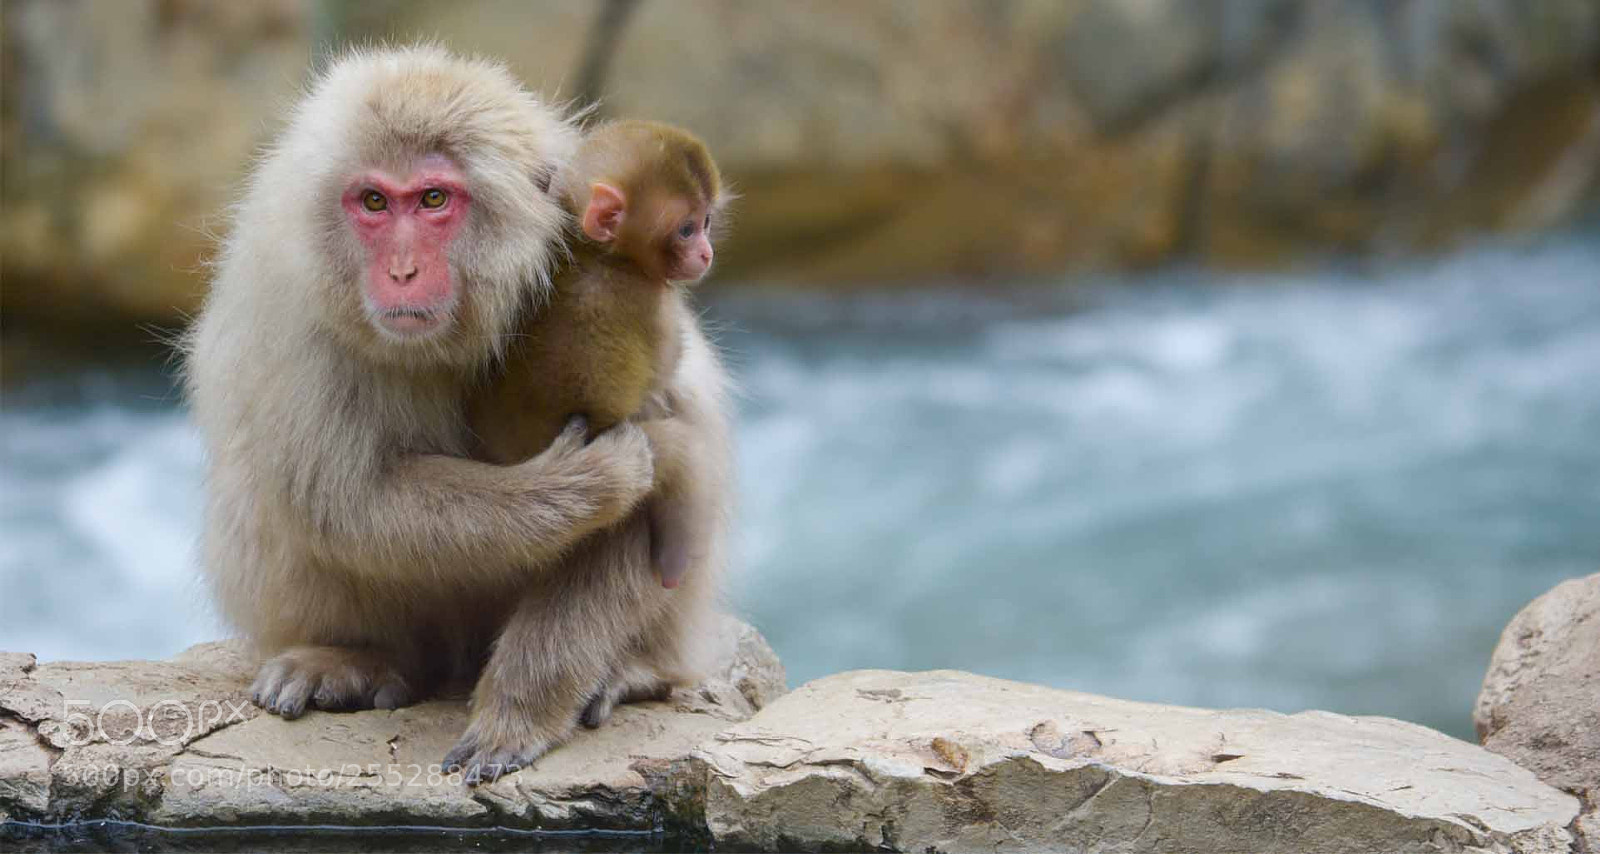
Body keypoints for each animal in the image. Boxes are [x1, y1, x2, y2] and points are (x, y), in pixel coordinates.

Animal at [468, 119, 726, 591]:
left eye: (706, 222)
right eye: (686, 229)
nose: (706, 252)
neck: (599, 252)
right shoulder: (653, 308)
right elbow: (661, 372)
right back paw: (676, 557)